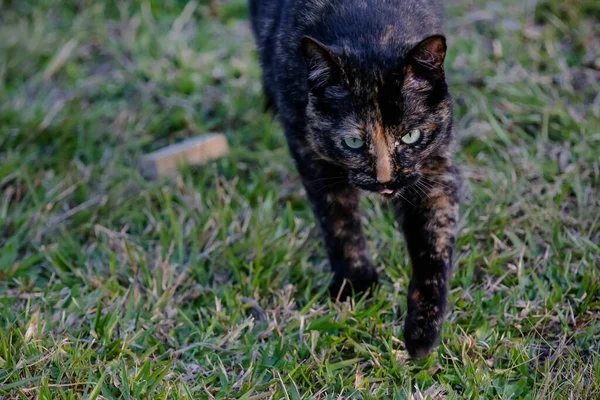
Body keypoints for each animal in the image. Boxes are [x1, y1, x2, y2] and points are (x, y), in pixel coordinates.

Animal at [248, 0, 460, 356]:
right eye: (353, 142)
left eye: (411, 136)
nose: (385, 180)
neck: (370, 26)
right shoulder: (310, 151)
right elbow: (338, 220)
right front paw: (356, 282)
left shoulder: (434, 167)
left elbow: (433, 247)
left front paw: (422, 333)